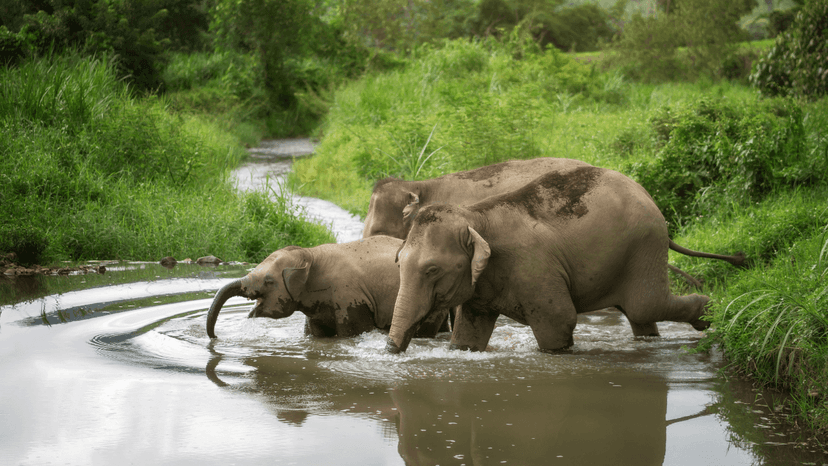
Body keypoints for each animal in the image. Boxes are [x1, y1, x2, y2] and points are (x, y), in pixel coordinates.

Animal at [386, 164, 742, 353]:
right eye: (398, 262)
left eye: (432, 269)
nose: (390, 349)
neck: (475, 216)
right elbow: (468, 334)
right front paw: (463, 349)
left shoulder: (535, 268)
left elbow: (560, 319)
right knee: (640, 314)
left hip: (645, 245)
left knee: (646, 305)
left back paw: (708, 313)